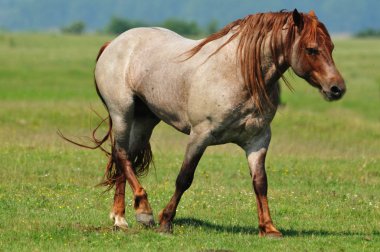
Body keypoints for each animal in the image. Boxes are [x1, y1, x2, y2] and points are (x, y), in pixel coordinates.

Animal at [69, 8, 348, 236]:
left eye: (332, 47)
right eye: (311, 49)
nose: (337, 88)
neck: (238, 74)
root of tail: (114, 43)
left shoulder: (258, 140)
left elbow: (260, 182)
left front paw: (268, 227)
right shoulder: (200, 136)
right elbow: (184, 178)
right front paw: (165, 221)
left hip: (145, 120)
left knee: (125, 157)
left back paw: (121, 217)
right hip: (122, 112)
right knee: (122, 154)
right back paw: (142, 211)